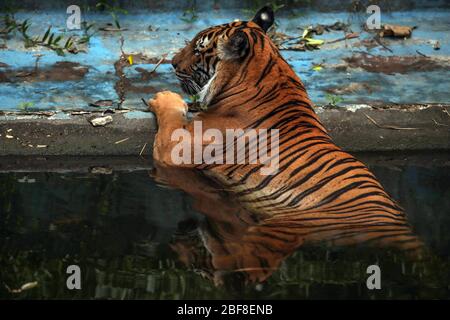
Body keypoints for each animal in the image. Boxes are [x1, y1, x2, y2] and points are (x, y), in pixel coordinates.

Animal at [149, 4, 426, 280]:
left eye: (198, 49)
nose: (172, 63)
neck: (269, 72)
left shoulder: (176, 149)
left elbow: (170, 114)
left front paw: (162, 97)